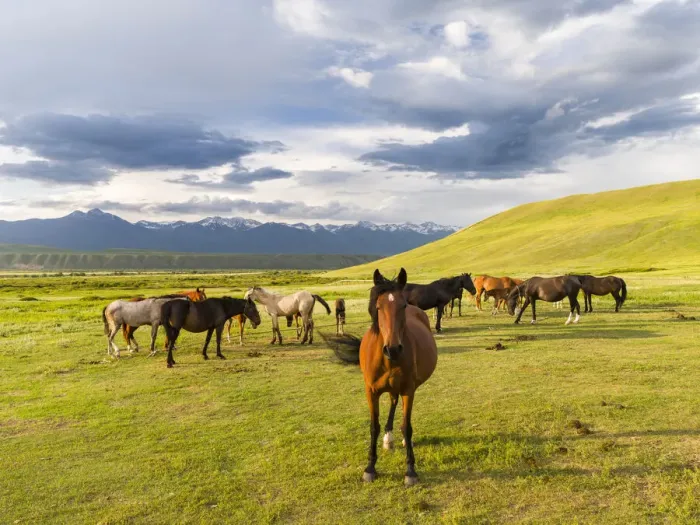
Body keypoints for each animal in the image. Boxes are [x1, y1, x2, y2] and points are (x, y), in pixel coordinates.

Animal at [325, 268, 437, 486]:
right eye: (378, 306)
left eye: (402, 305)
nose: (393, 349)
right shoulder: (371, 391)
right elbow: (373, 427)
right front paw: (370, 468)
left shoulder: (408, 390)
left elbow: (407, 426)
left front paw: (410, 471)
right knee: (392, 402)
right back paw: (389, 438)